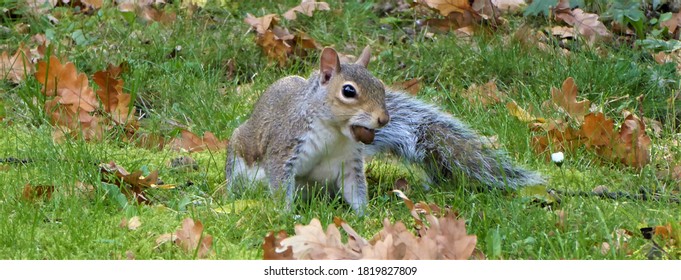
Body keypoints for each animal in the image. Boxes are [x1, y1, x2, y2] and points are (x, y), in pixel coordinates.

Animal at [226, 46, 544, 214]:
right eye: (348, 91)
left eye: (380, 86)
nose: (384, 119)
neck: (334, 133)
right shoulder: (285, 148)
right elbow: (280, 182)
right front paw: (287, 217)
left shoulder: (349, 161)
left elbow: (355, 189)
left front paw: (364, 217)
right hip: (239, 157)